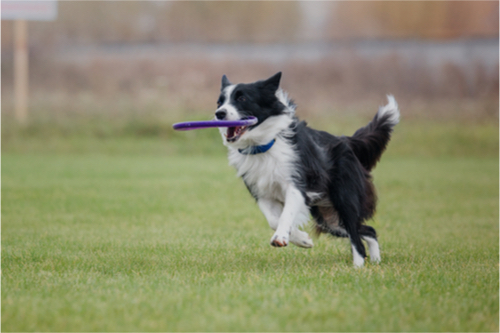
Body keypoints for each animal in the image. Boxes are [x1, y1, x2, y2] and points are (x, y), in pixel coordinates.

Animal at [214, 71, 398, 266]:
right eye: (219, 102)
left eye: (242, 98)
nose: (219, 113)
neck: (264, 145)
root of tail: (346, 140)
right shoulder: (262, 192)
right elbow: (273, 219)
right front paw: (302, 239)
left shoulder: (297, 185)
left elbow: (286, 214)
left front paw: (281, 237)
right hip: (329, 218)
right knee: (368, 230)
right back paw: (376, 261)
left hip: (344, 198)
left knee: (356, 237)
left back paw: (358, 266)